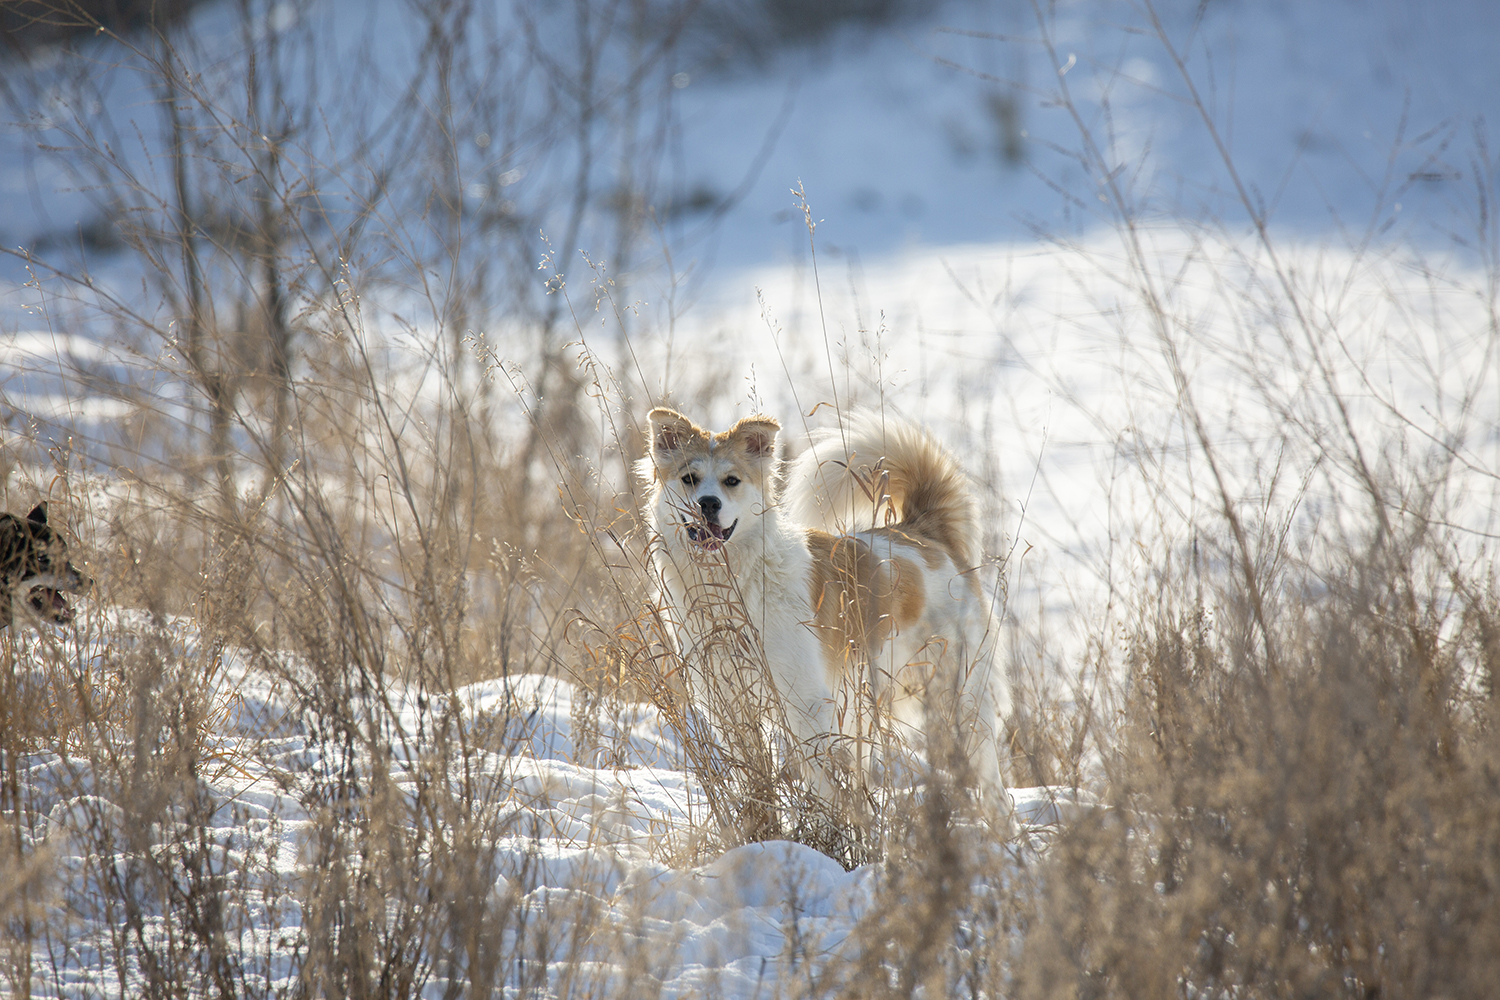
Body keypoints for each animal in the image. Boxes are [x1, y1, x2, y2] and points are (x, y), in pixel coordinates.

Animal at [639, 407, 1014, 815]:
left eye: (732, 480)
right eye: (689, 478)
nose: (708, 503)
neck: (732, 584)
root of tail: (924, 531)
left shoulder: (806, 700)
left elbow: (820, 779)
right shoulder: (728, 702)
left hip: (959, 700)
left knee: (994, 790)